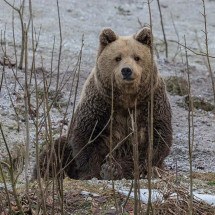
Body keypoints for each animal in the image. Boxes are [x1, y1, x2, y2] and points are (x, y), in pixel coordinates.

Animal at [32, 27, 172, 180]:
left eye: (137, 57)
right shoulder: (100, 105)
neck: (126, 99)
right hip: (66, 146)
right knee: (54, 152)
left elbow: (155, 140)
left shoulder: (150, 103)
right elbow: (87, 137)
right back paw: (45, 174)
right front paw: (93, 172)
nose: (127, 70)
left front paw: (114, 168)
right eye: (118, 58)